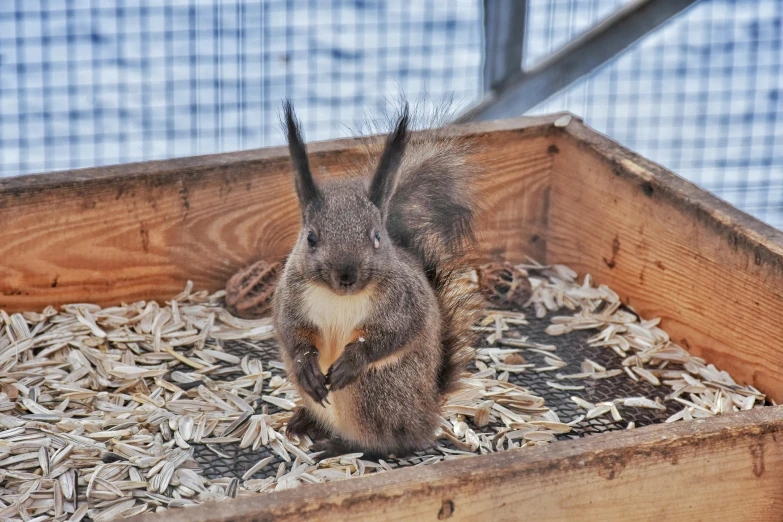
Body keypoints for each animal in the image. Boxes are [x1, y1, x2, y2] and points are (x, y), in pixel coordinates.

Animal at [276, 99, 484, 458]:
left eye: (376, 236)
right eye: (311, 238)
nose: (346, 275)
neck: (339, 298)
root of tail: (428, 413)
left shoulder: (405, 302)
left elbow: (395, 333)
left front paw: (353, 359)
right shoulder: (290, 297)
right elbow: (291, 331)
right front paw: (306, 364)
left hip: (373, 391)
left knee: (390, 442)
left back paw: (342, 445)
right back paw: (304, 421)